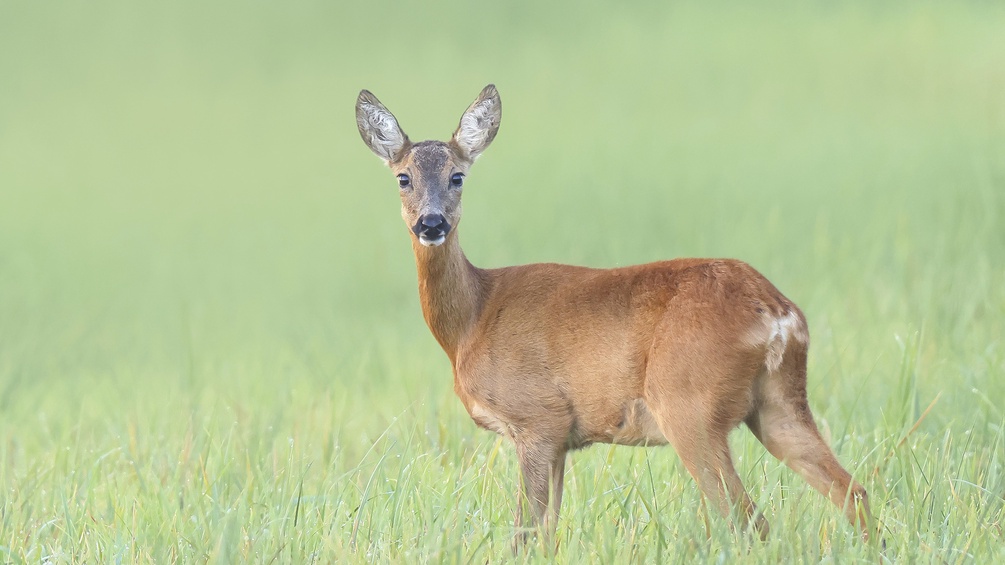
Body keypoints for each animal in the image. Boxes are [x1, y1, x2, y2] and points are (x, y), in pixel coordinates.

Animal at [355, 84, 872, 545]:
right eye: (403, 177)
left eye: (458, 176)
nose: (431, 223)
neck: (472, 320)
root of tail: (780, 314)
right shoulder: (560, 438)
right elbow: (548, 535)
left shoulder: (538, 419)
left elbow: (525, 535)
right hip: (779, 402)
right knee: (854, 492)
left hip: (688, 404)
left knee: (750, 521)